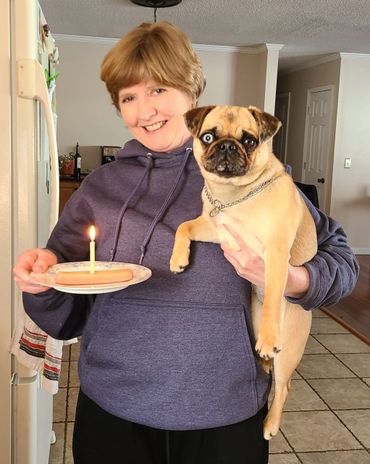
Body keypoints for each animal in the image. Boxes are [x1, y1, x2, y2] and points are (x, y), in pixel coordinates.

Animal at [171, 104, 318, 438]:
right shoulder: (214, 230)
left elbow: (275, 292)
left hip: (288, 349)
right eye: (208, 136)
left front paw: (267, 338)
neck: (234, 197)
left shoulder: (274, 254)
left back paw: (271, 423)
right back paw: (261, 362)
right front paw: (178, 258)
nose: (227, 146)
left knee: (284, 385)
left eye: (249, 141)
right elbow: (183, 226)